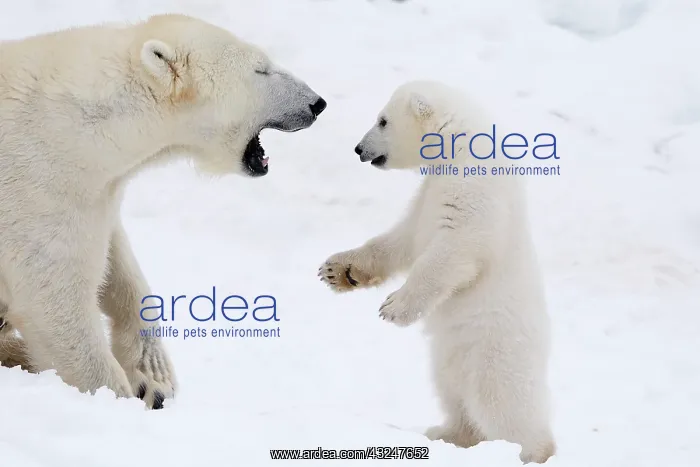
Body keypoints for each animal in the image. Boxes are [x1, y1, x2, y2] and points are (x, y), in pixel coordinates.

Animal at [0, 13, 326, 409]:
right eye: (260, 69)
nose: (317, 103)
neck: (82, 132)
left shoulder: (98, 192)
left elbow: (120, 266)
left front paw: (153, 378)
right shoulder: (38, 190)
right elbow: (53, 302)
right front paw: (116, 398)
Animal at [319, 80, 556, 464]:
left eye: (382, 120)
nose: (358, 149)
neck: (458, 145)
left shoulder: (474, 188)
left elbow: (455, 248)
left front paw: (393, 308)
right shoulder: (428, 195)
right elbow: (403, 239)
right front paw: (339, 270)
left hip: (495, 349)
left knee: (501, 403)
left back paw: (529, 451)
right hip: (449, 356)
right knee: (454, 395)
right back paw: (447, 433)